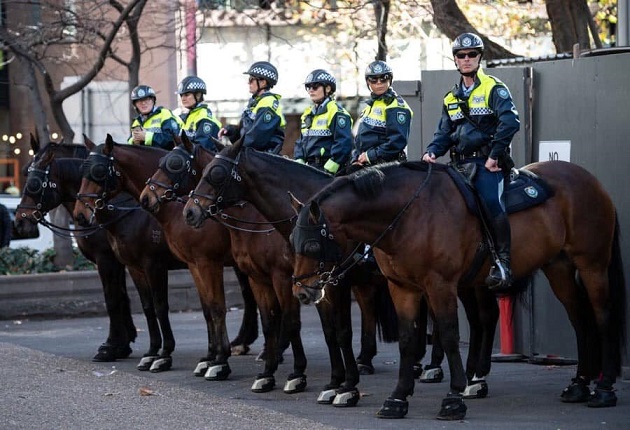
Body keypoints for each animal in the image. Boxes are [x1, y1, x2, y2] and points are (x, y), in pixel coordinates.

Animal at [71, 136, 308, 394]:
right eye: (81, 170)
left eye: (98, 170)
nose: (79, 214)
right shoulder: (169, 266)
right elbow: (187, 309)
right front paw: (204, 357)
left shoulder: (183, 264)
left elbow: (190, 307)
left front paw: (180, 357)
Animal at [290, 160, 628, 418]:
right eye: (292, 241)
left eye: (312, 245)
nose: (302, 292)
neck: (408, 214)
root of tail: (587, 179)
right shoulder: (403, 288)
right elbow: (407, 341)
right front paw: (398, 398)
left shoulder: (440, 285)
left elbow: (450, 335)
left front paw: (453, 398)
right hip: (558, 267)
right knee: (580, 320)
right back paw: (580, 384)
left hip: (592, 265)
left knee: (603, 317)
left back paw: (604, 389)